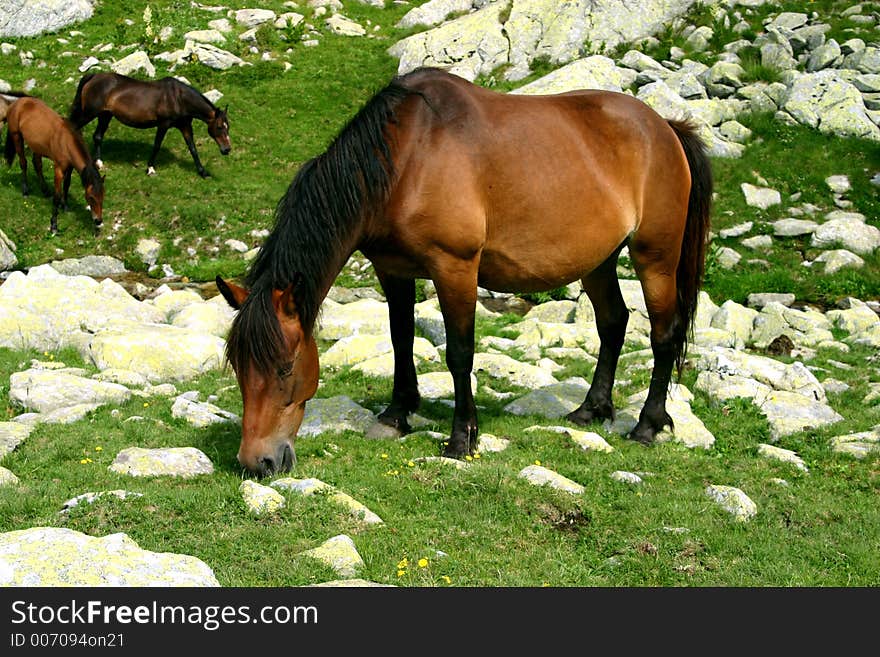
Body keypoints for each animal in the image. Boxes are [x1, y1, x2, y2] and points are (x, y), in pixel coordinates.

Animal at [4, 95, 105, 233]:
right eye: (91, 197)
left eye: (103, 196)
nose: (98, 220)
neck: (66, 141)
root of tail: (17, 102)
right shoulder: (58, 170)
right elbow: (56, 196)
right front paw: (54, 225)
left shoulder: (70, 168)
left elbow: (66, 185)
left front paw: (65, 206)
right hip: (17, 137)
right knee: (23, 163)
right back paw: (25, 190)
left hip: (37, 146)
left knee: (37, 164)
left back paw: (45, 190)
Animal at [69, 72, 230, 177]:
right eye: (220, 127)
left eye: (228, 127)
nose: (227, 149)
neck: (178, 98)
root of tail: (94, 76)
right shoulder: (163, 125)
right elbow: (157, 145)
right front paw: (150, 169)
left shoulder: (185, 126)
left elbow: (193, 148)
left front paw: (203, 172)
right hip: (90, 113)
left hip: (105, 115)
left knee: (97, 136)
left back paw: (99, 163)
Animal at [217, 68, 712, 476]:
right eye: (239, 367)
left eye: (284, 368)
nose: (256, 462)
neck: (406, 158)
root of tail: (665, 128)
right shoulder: (393, 269)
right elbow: (401, 339)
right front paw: (396, 415)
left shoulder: (454, 267)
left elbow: (459, 353)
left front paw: (462, 439)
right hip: (598, 262)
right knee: (613, 323)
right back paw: (591, 409)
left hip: (654, 258)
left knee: (663, 335)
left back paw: (647, 426)